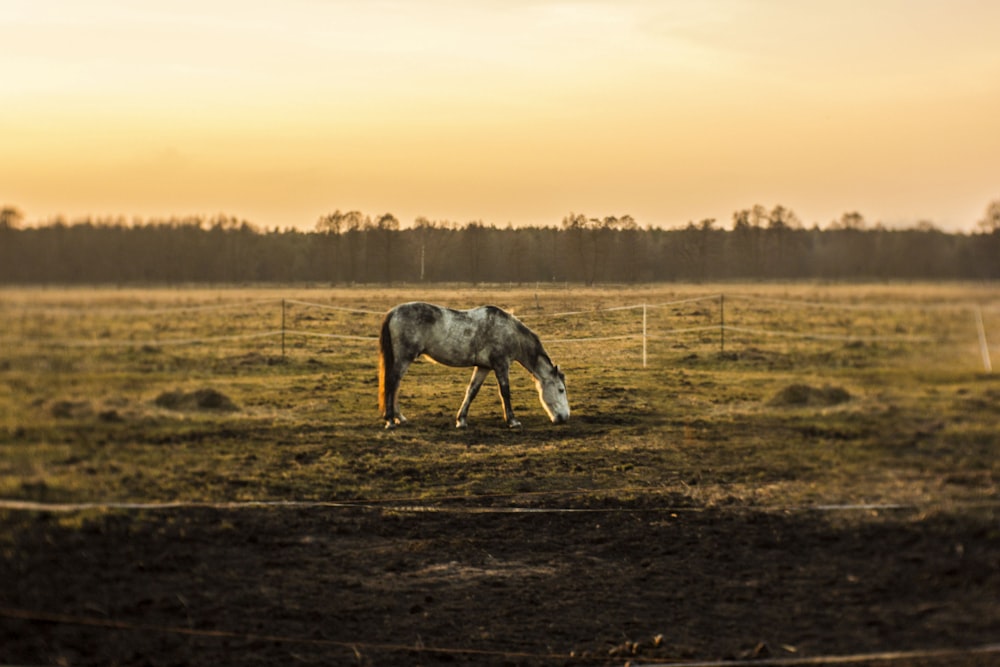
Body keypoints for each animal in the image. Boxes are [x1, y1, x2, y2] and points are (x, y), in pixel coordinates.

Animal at [378, 302, 572, 430]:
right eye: (561, 390)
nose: (565, 417)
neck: (509, 331)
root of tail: (393, 312)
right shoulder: (501, 365)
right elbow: (505, 392)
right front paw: (512, 421)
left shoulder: (483, 367)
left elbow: (472, 391)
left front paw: (461, 420)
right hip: (404, 358)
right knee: (391, 383)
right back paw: (390, 420)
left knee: (395, 385)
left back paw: (399, 417)